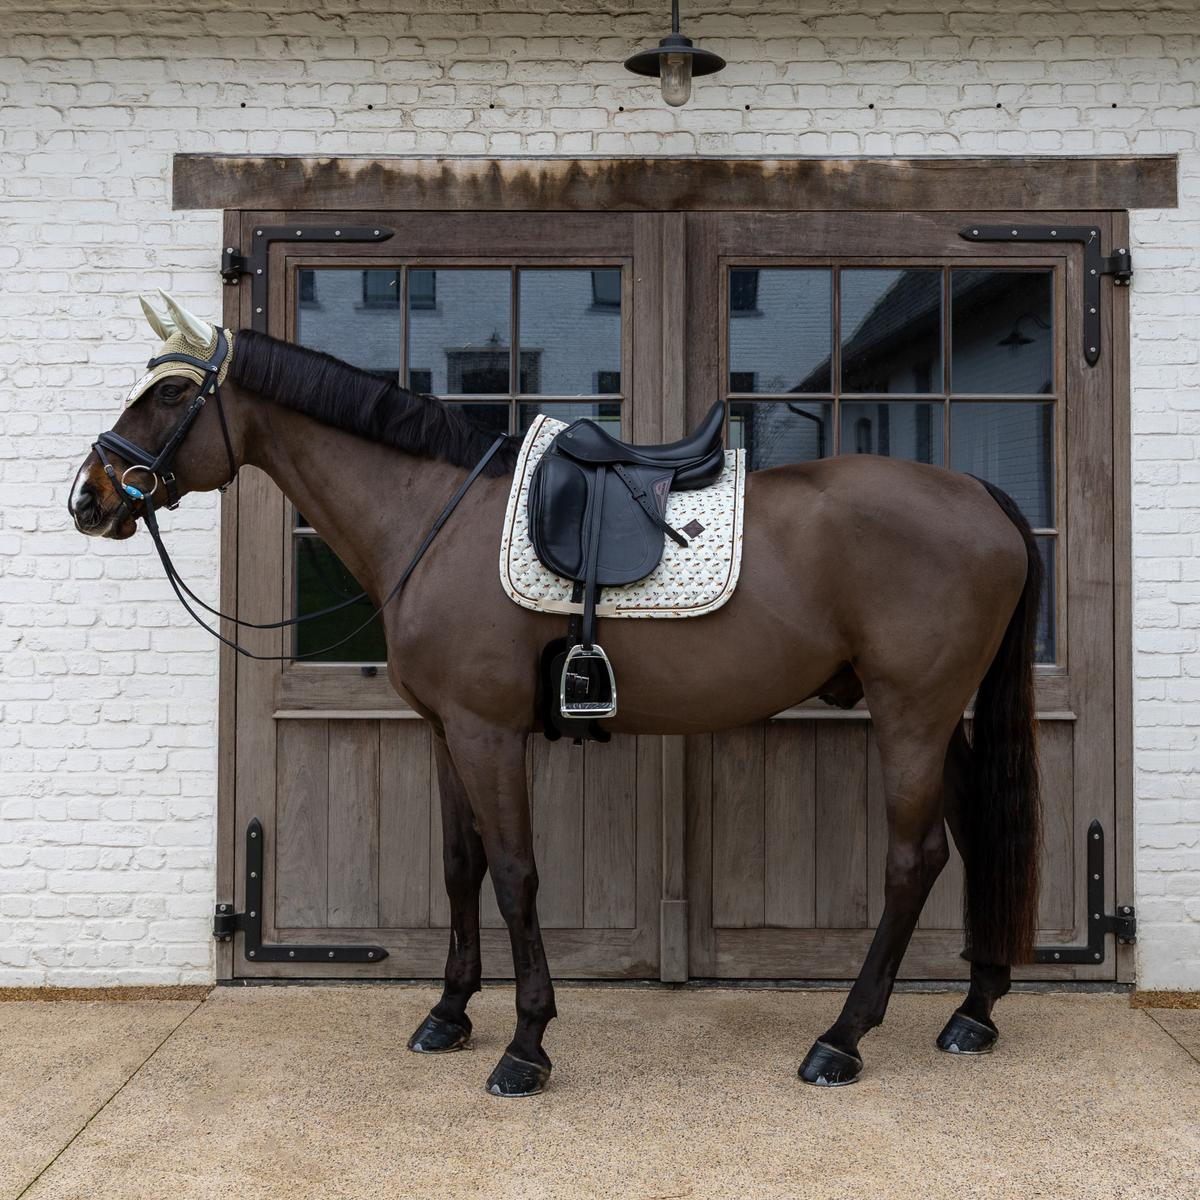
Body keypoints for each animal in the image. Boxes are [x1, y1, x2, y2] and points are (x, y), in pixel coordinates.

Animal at [69, 292, 1041, 1097]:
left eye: (168, 396)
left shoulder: (489, 733)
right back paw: (975, 1010)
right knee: (977, 831)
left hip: (911, 713)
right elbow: (460, 868)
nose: (89, 496)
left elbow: (515, 874)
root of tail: (980, 495)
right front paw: (448, 1015)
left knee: (914, 859)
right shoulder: (445, 732)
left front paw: (525, 1045)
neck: (434, 515)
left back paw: (842, 1038)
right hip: (941, 716)